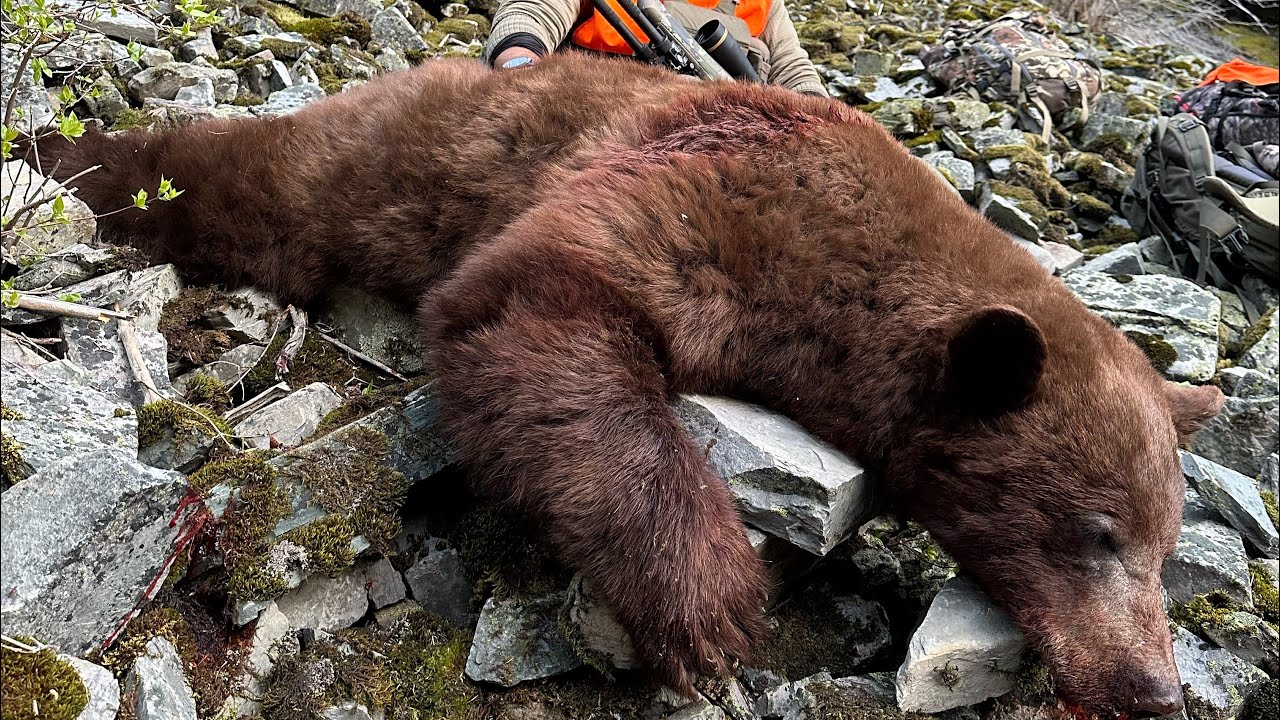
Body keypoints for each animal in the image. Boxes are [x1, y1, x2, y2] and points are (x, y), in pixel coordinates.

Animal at [21, 52, 1225, 718]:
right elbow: (531, 299)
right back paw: (64, 161)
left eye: (1168, 548)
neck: (852, 287)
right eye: (1096, 533)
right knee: (248, 182)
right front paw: (709, 602)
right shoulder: (718, 197)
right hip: (389, 162)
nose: (1155, 691)